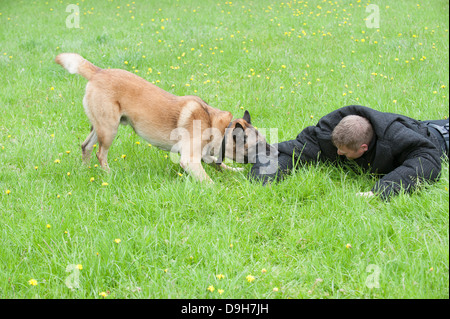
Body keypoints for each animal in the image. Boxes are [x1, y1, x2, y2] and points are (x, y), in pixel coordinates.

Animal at [55, 53, 274, 182]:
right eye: (258, 145)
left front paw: (235, 172)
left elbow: (219, 164)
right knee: (101, 154)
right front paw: (218, 190)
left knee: (86, 146)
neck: (216, 125)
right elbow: (208, 180)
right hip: (109, 129)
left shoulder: (204, 155)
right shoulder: (190, 160)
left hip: (100, 126)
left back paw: (85, 171)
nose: (274, 151)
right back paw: (108, 175)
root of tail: (98, 72)